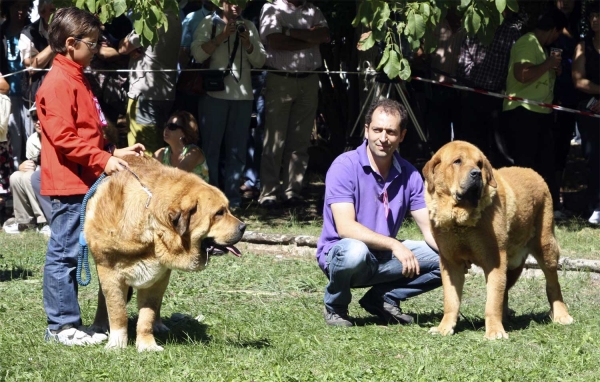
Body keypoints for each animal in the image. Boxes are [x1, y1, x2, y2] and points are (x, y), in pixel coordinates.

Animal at [83, 156, 245, 352]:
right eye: (219, 213)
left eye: (227, 209)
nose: (244, 227)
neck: (153, 228)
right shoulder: (110, 275)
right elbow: (118, 312)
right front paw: (116, 344)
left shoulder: (156, 280)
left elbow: (147, 316)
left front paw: (147, 345)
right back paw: (99, 324)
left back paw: (158, 325)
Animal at [420, 142, 576, 338]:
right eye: (457, 161)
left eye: (479, 164)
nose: (476, 174)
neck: (461, 221)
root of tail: (534, 173)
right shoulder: (450, 263)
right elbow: (451, 299)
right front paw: (444, 328)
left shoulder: (494, 260)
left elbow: (492, 300)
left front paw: (494, 331)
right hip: (514, 264)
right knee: (507, 290)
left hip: (546, 248)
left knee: (553, 284)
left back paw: (561, 315)